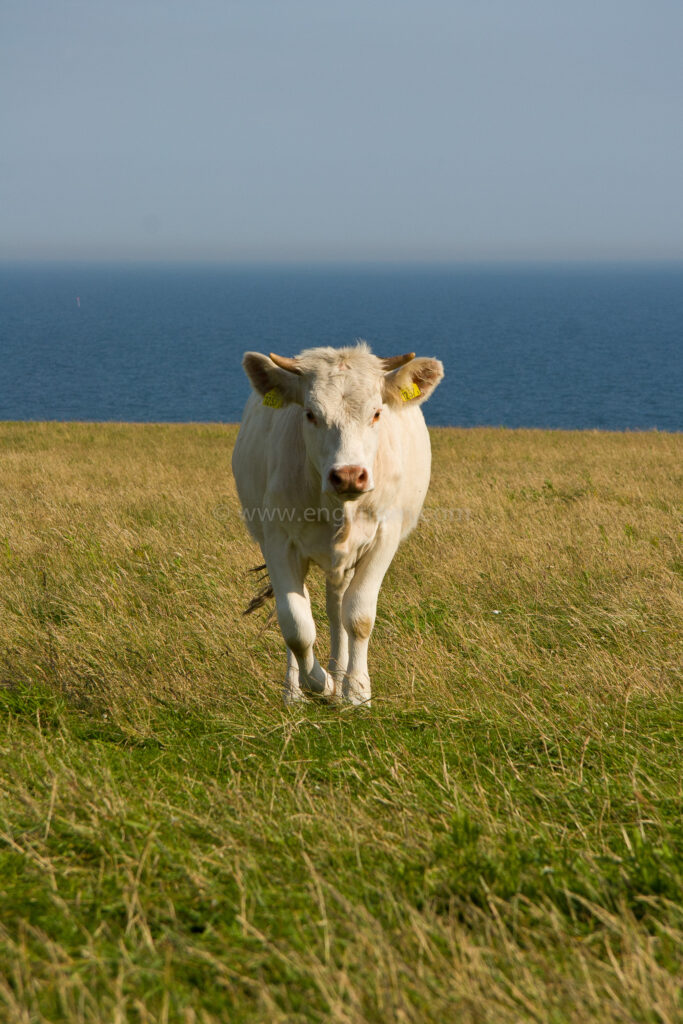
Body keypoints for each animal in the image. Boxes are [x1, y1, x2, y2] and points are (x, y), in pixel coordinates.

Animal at [232, 342, 446, 704]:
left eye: (376, 413)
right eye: (310, 414)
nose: (348, 475)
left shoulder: (383, 537)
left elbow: (358, 617)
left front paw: (357, 692)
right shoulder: (278, 541)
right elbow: (296, 625)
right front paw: (320, 684)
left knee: (338, 610)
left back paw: (341, 672)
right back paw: (297, 691)